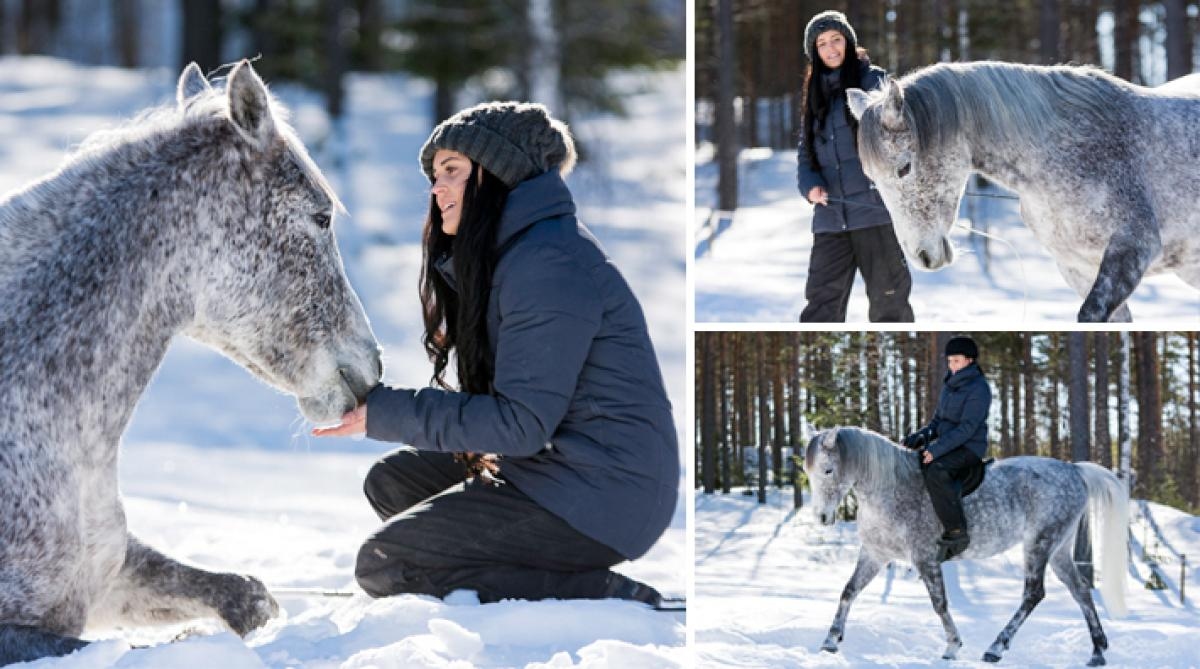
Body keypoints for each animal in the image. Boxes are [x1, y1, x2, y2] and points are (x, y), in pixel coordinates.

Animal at [811, 429, 1128, 666]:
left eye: (827, 470)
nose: (822, 517)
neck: (890, 489)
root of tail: (1074, 470)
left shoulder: (925, 558)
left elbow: (939, 603)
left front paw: (952, 646)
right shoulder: (875, 555)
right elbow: (849, 591)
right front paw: (830, 640)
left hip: (1039, 543)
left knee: (1034, 593)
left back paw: (996, 648)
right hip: (1059, 549)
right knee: (1080, 590)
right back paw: (1097, 651)